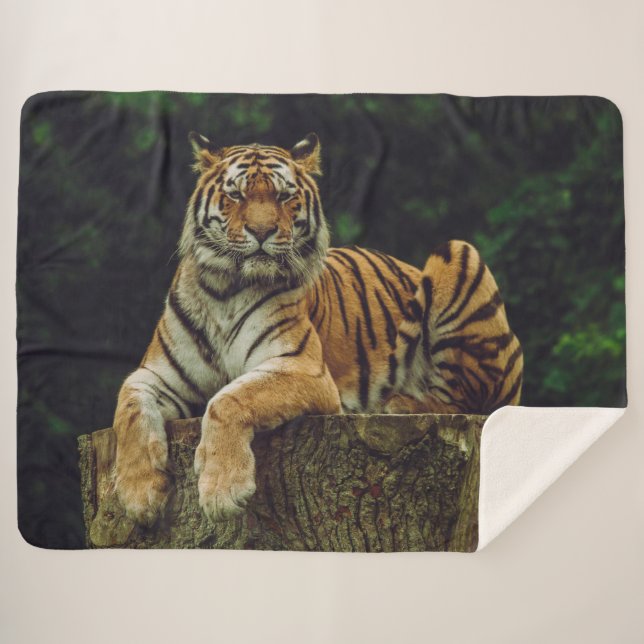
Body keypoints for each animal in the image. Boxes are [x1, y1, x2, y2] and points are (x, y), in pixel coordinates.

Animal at [113, 132, 523, 525]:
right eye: (236, 194)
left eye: (284, 195)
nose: (261, 231)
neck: (226, 290)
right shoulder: (158, 374)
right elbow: (128, 409)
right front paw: (138, 495)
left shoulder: (302, 368)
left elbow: (227, 399)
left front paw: (223, 491)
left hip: (458, 253)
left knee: (470, 399)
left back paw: (399, 403)